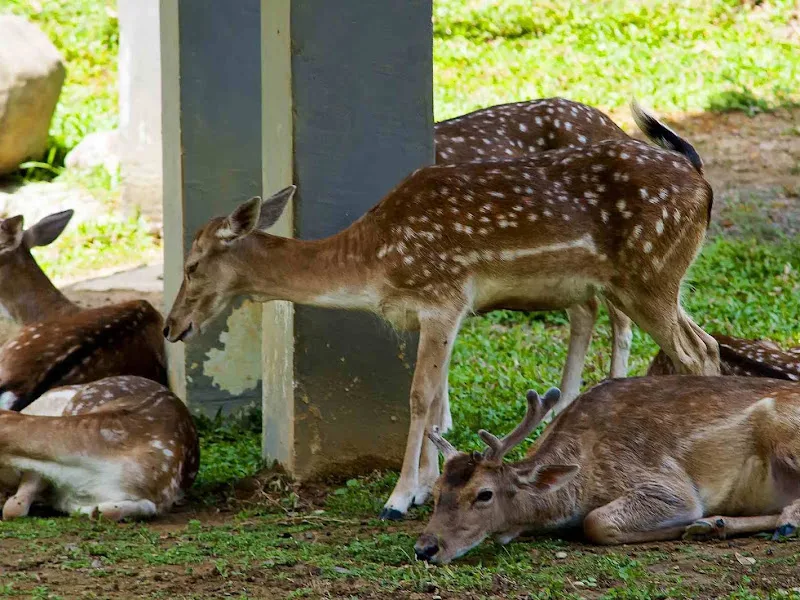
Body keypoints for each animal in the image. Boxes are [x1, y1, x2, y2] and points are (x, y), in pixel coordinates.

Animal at [163, 103, 721, 520]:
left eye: (191, 265)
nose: (172, 326)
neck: (374, 261)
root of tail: (700, 178)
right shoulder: (433, 313)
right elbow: (433, 400)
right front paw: (427, 484)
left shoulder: (443, 296)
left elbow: (418, 396)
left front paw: (398, 497)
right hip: (634, 282)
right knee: (703, 343)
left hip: (649, 273)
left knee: (693, 352)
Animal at [417, 377, 800, 564]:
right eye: (435, 492)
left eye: (484, 494)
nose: (425, 548)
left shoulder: (667, 485)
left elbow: (595, 522)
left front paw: (684, 525)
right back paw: (714, 525)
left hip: (784, 433)